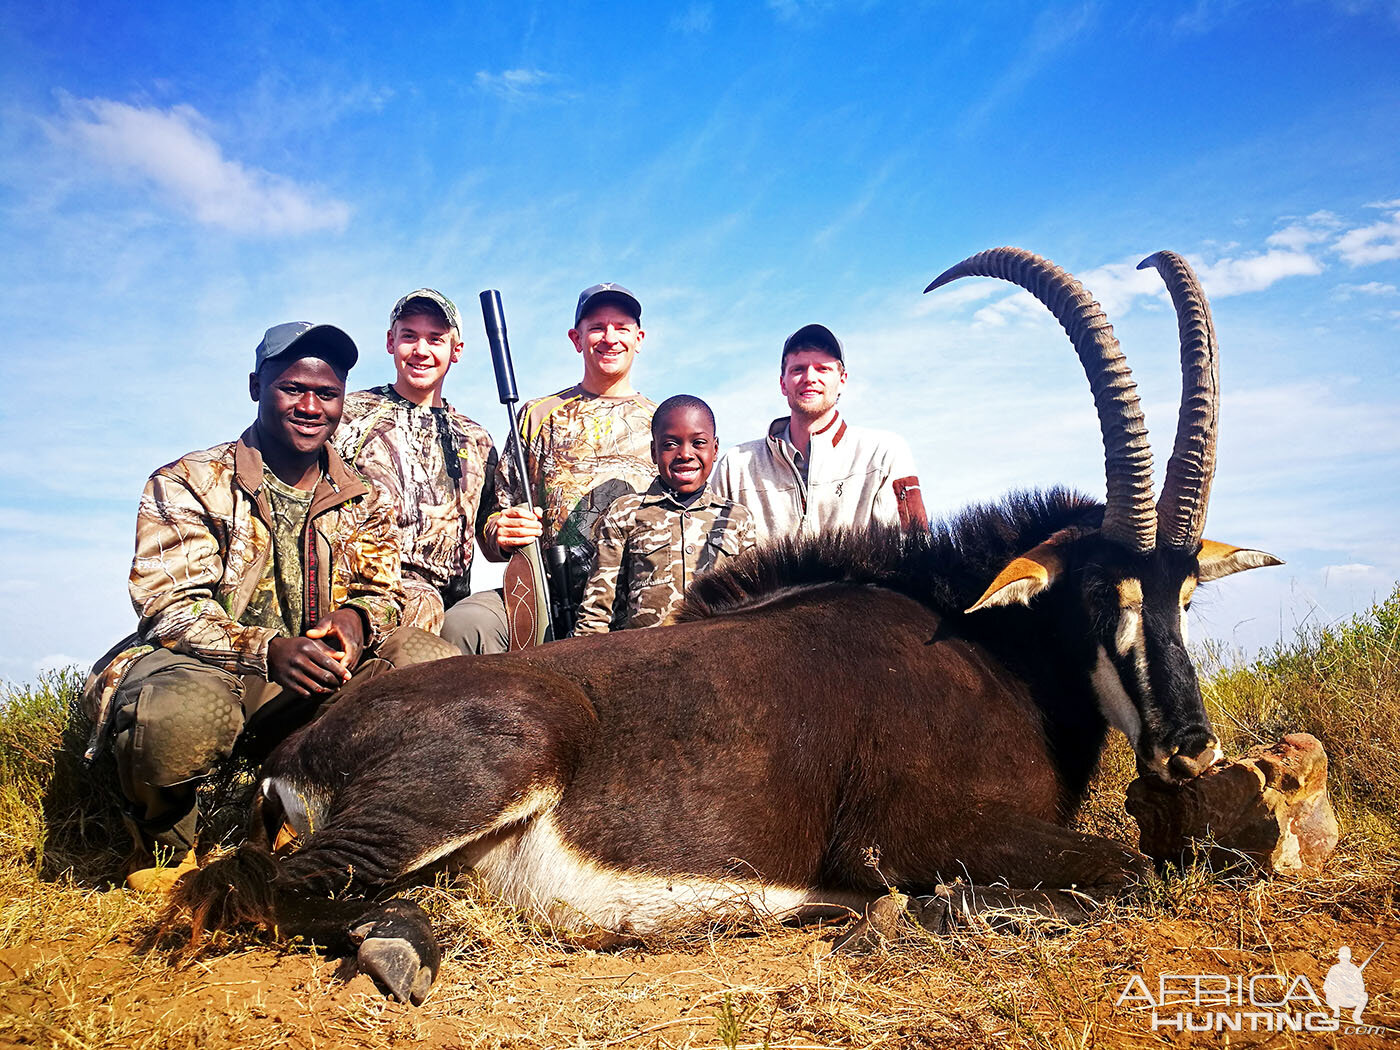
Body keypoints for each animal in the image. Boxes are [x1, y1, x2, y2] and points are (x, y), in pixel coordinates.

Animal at [172, 246, 1282, 1002]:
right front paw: (916, 914)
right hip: (506, 752)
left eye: (1185, 594)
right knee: (260, 883)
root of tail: (304, 738)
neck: (979, 646)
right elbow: (1130, 868)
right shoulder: (908, 833)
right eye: (1098, 596)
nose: (1190, 749)